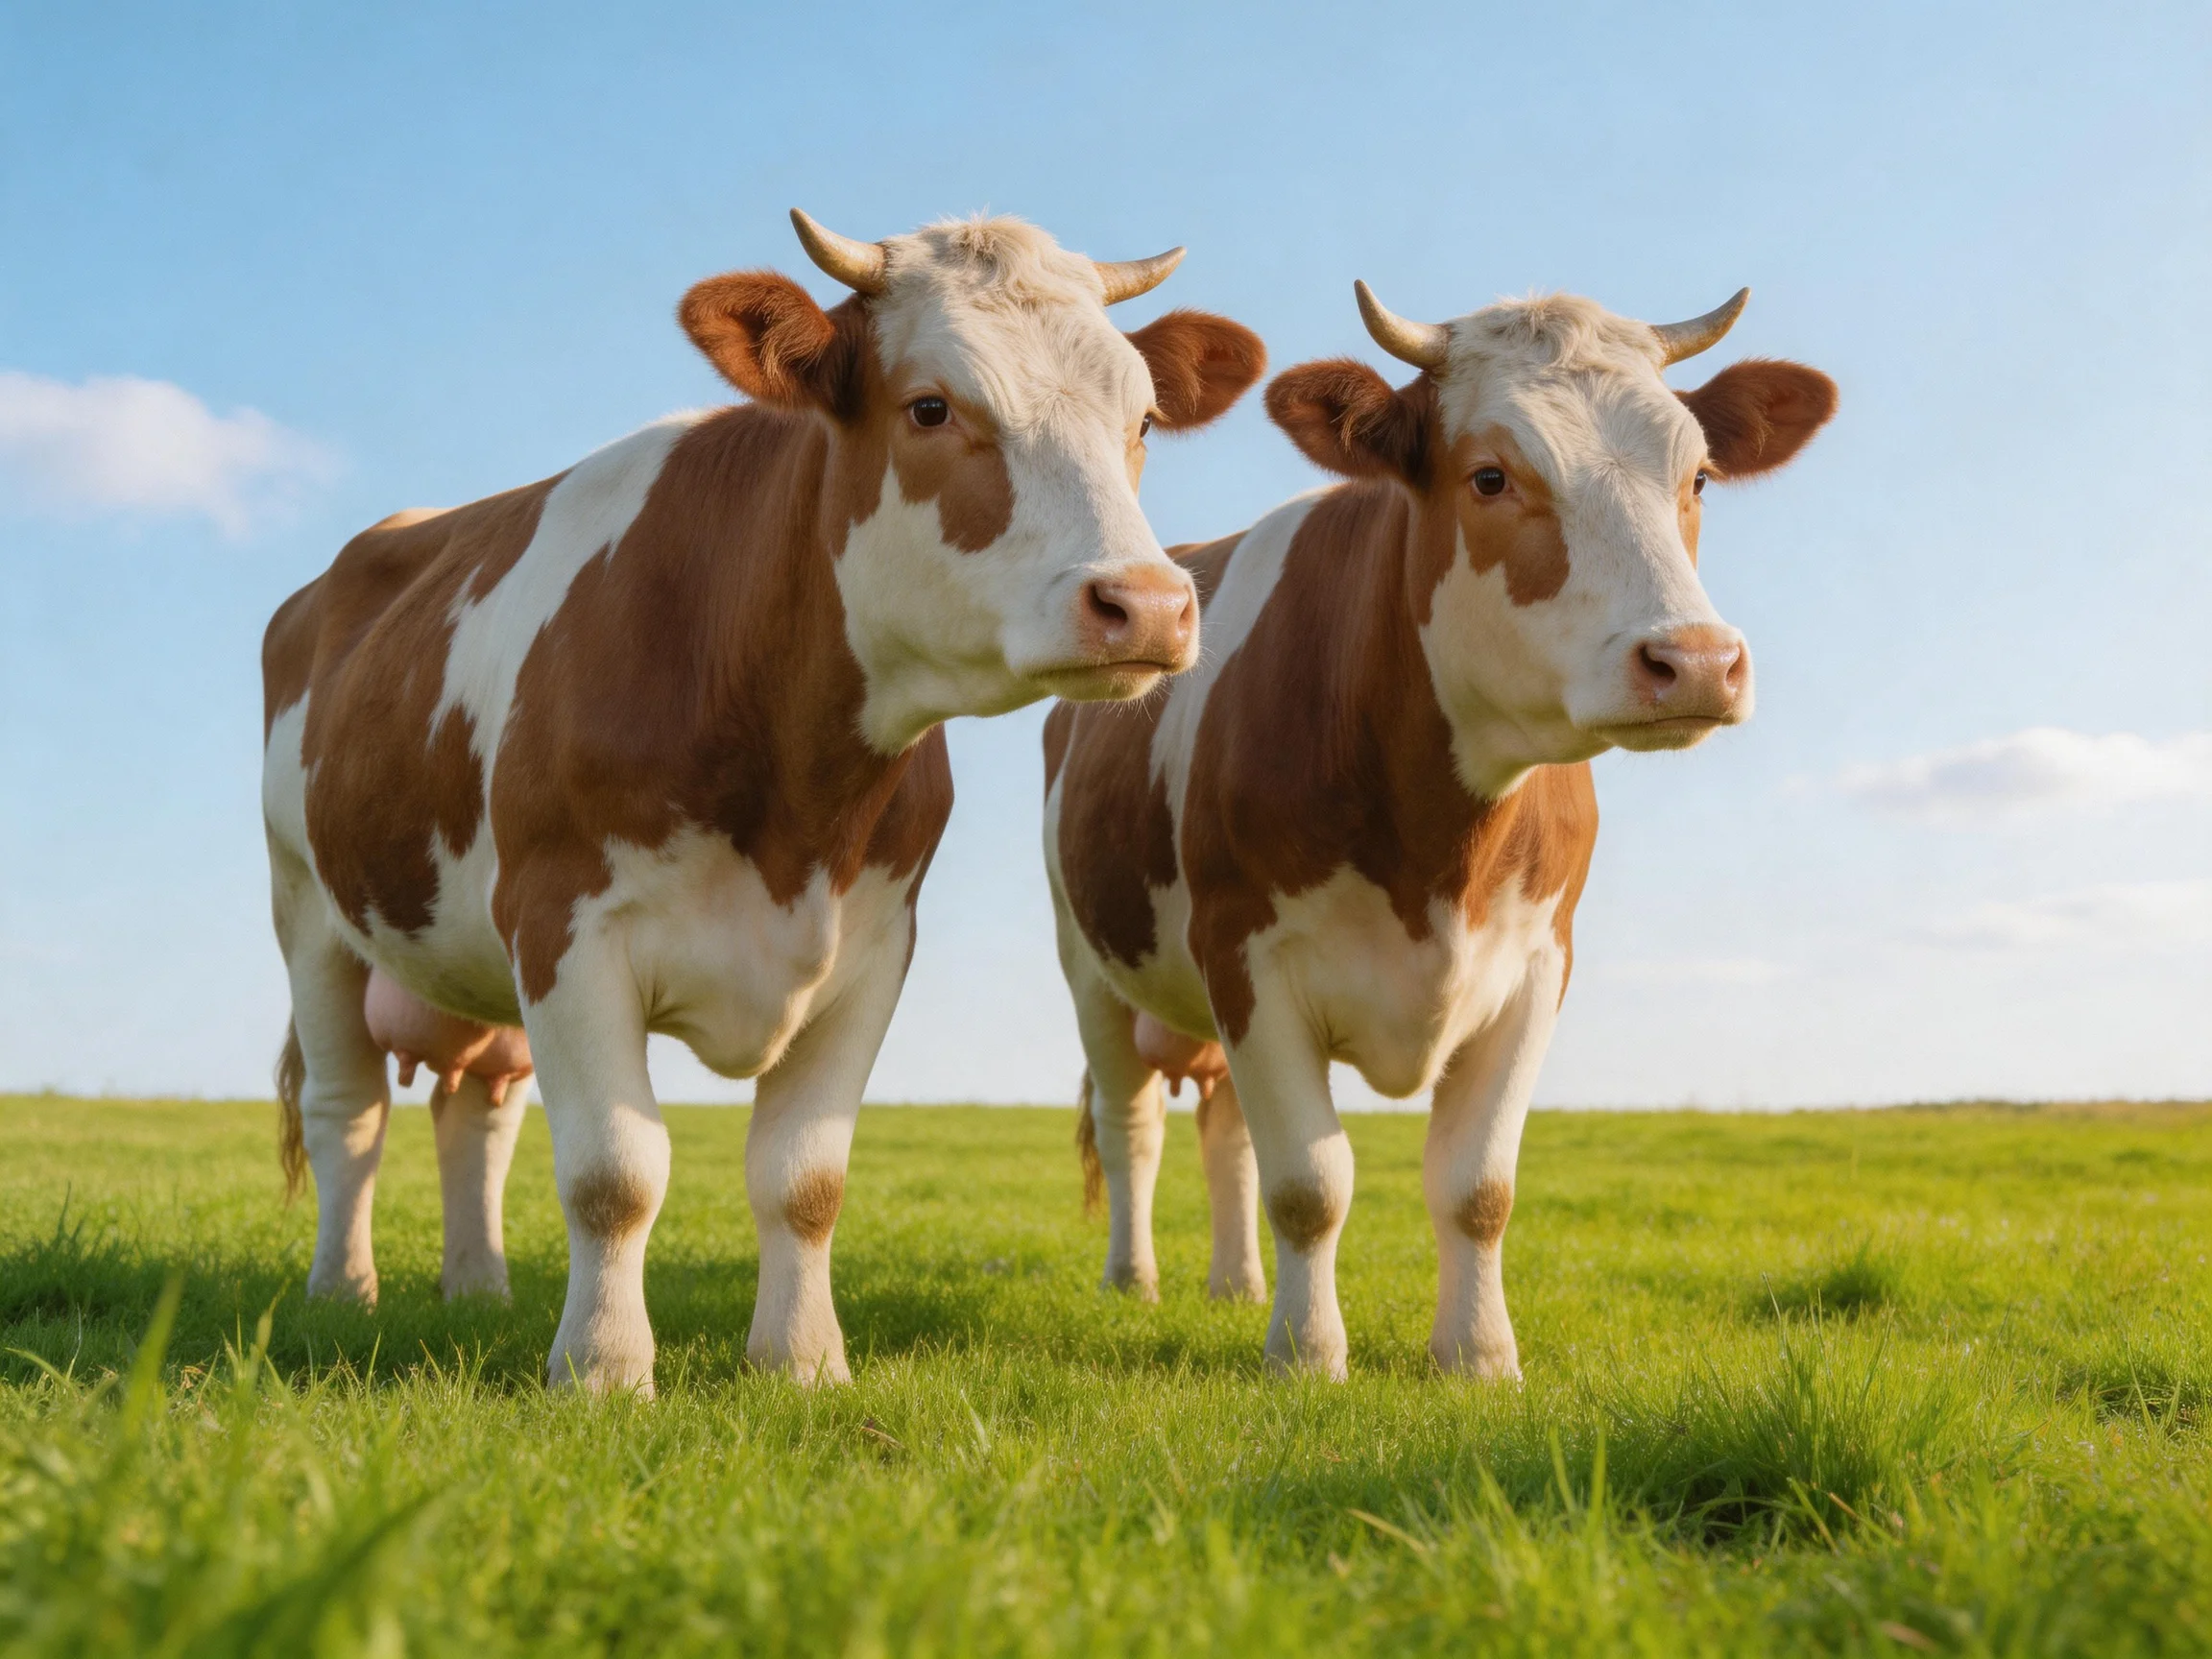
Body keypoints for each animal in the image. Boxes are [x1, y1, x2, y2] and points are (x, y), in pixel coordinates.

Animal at [262, 210, 1266, 1393]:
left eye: (1142, 417)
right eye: (931, 406)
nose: (1147, 604)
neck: (793, 798)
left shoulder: (872, 949)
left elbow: (805, 1178)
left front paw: (802, 1361)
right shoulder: (562, 925)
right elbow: (616, 1171)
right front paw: (603, 1370)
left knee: (476, 1113)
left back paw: (478, 1287)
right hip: (309, 912)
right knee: (348, 1112)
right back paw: (344, 1292)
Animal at [1045, 281, 1835, 1378]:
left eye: (1701, 477)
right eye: (1491, 476)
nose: (1698, 661)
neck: (1436, 848)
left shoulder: (1538, 963)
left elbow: (1476, 1187)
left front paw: (1478, 1355)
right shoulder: (1248, 956)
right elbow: (1312, 1183)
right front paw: (1307, 1357)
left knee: (1225, 1135)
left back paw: (1236, 1284)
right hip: (1092, 969)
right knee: (1132, 1130)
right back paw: (1135, 1283)